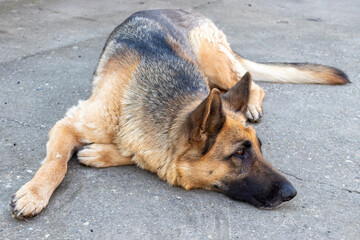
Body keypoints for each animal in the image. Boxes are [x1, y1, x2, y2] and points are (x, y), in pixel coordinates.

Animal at [10, 9, 348, 219]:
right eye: (239, 153)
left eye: (260, 148)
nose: (292, 193)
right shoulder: (68, 124)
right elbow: (56, 163)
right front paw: (34, 193)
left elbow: (141, 154)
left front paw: (101, 153)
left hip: (214, 61)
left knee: (253, 81)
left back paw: (252, 102)